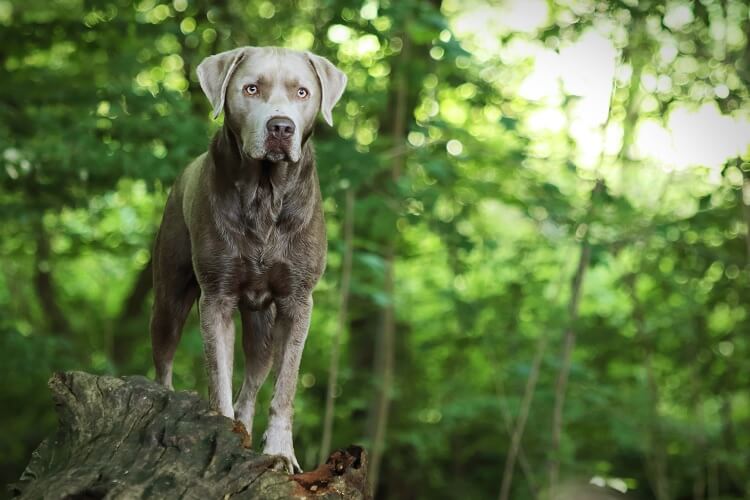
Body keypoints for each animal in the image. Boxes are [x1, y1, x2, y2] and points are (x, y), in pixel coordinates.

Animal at [151, 47, 350, 472]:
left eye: (302, 92)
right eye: (251, 88)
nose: (281, 127)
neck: (264, 193)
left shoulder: (297, 303)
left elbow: (285, 386)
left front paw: (280, 451)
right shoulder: (216, 298)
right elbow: (218, 377)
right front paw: (220, 434)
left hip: (263, 325)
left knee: (255, 378)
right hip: (169, 297)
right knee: (164, 358)